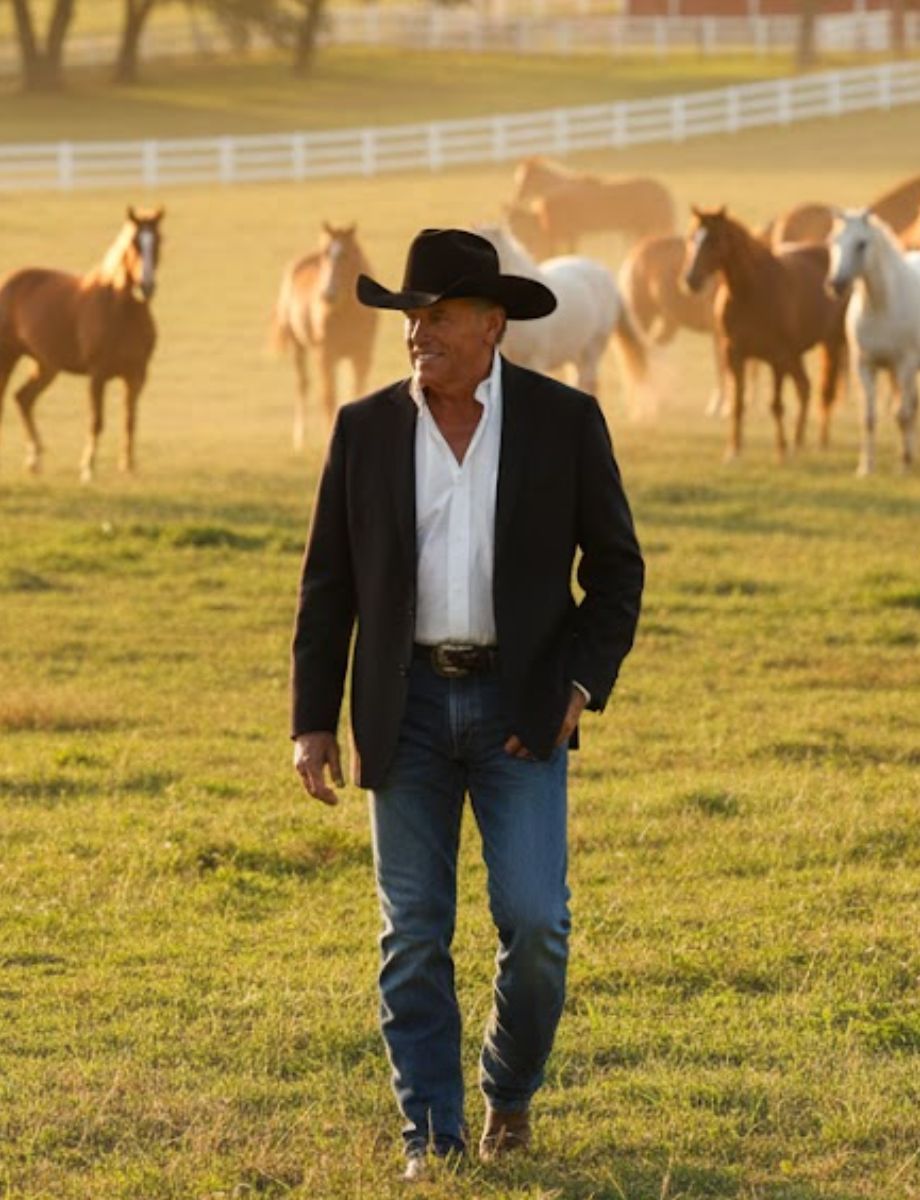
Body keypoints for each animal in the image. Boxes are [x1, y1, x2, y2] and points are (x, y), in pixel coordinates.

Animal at [0, 206, 163, 482]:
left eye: (159, 240)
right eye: (133, 242)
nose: (146, 286)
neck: (121, 311)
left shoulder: (137, 375)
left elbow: (130, 421)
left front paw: (128, 467)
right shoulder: (97, 375)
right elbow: (96, 421)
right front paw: (88, 469)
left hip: (46, 365)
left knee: (23, 398)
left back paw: (34, 461)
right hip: (8, 357)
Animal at [272, 222, 378, 449]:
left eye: (347, 254)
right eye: (325, 255)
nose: (328, 294)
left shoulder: (362, 355)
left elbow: (357, 390)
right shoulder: (326, 355)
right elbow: (329, 396)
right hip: (299, 346)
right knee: (303, 385)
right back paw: (300, 438)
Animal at [682, 206, 848, 463]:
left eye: (715, 239)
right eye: (692, 237)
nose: (691, 280)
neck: (750, 292)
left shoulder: (777, 359)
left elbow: (776, 405)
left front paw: (780, 450)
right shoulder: (735, 355)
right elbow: (738, 403)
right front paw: (734, 451)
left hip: (830, 343)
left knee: (825, 392)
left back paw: (820, 443)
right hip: (796, 355)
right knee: (804, 387)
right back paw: (798, 442)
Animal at [828, 209, 920, 475]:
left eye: (861, 243)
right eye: (833, 240)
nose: (836, 284)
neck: (881, 306)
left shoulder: (905, 366)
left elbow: (902, 414)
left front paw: (904, 464)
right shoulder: (865, 366)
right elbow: (868, 418)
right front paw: (865, 467)